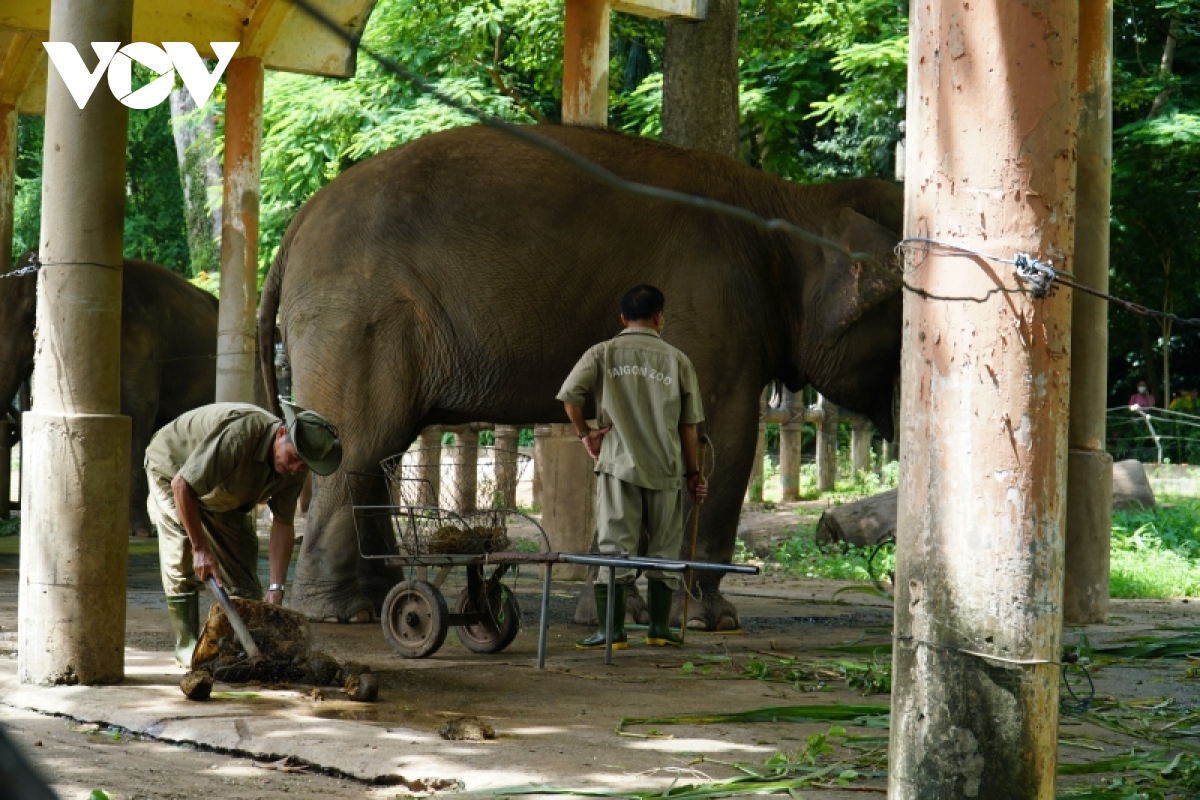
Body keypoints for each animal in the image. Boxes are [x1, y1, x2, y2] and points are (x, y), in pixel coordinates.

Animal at [260, 125, 902, 628]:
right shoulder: (714, 314)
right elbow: (716, 434)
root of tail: (295, 227)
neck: (794, 199)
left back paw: (375, 602)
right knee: (359, 446)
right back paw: (346, 613)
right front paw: (709, 620)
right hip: (358, 319)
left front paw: (621, 611)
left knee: (376, 452)